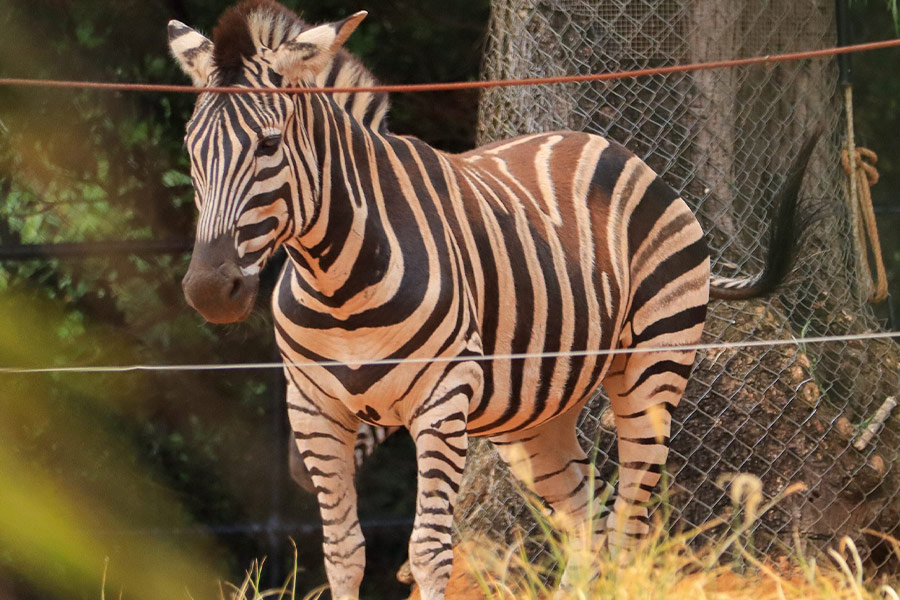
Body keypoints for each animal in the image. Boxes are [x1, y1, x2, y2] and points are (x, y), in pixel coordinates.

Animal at [168, 1, 816, 598]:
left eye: (269, 144)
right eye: (190, 148)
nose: (209, 291)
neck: (337, 283)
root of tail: (612, 147)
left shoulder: (442, 397)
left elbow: (429, 551)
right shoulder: (314, 408)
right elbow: (344, 552)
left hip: (652, 371)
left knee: (628, 525)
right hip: (534, 416)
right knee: (588, 522)